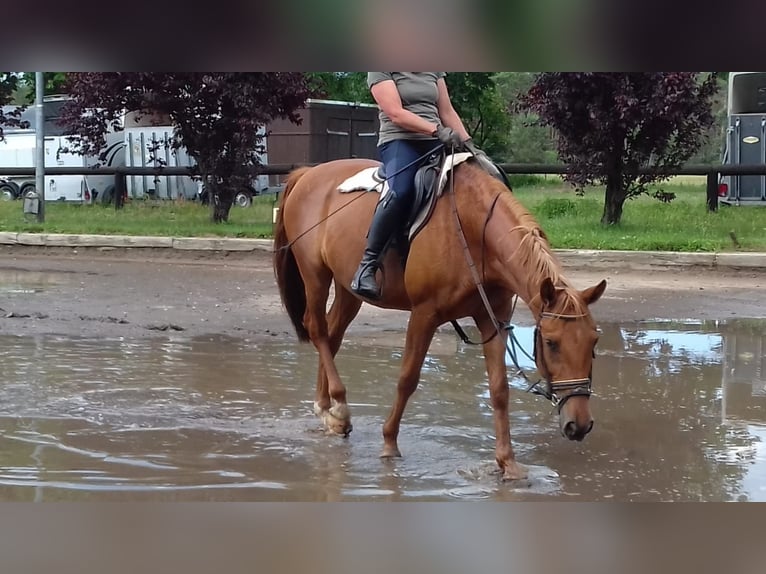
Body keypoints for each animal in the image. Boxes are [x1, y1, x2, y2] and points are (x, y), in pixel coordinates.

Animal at [272, 158, 608, 482]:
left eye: (593, 342)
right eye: (551, 343)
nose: (579, 424)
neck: (475, 232)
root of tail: (307, 174)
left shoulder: (492, 319)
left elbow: (499, 389)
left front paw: (508, 463)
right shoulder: (425, 314)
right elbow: (407, 379)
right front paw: (389, 443)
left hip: (347, 289)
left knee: (332, 335)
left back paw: (328, 412)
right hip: (315, 274)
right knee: (318, 329)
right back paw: (338, 409)